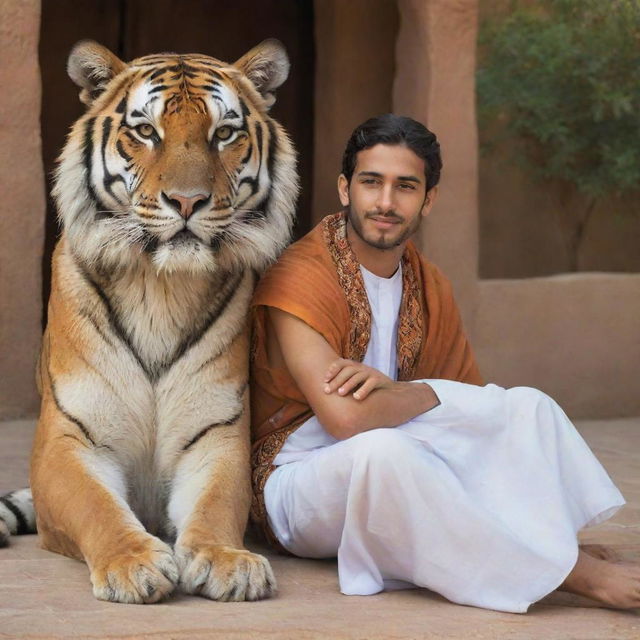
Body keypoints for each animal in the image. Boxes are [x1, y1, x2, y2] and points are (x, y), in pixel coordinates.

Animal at [0, 38, 298, 604]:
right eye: (145, 131)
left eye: (223, 133)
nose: (187, 201)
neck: (161, 286)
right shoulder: (69, 439)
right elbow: (96, 506)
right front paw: (133, 564)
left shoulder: (218, 434)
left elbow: (216, 504)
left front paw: (229, 562)